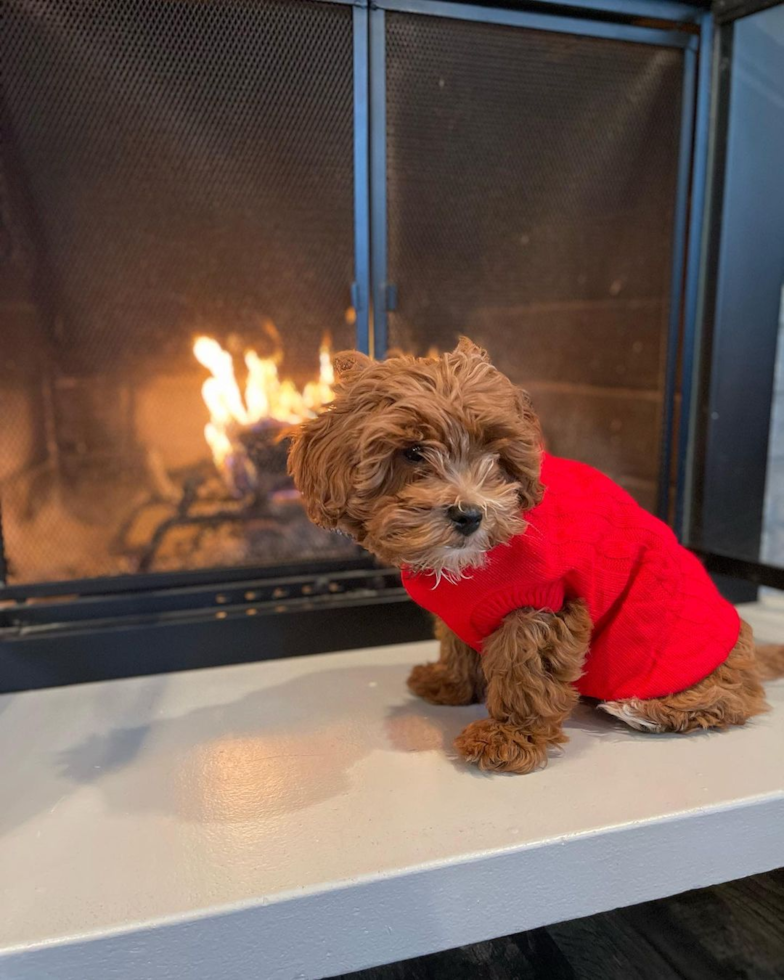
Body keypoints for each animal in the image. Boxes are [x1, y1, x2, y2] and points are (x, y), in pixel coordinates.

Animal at [290, 336, 784, 772]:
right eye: (413, 453)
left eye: (495, 455)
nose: (469, 515)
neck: (471, 562)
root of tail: (743, 648)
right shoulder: (463, 608)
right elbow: (457, 642)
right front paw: (449, 683)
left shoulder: (542, 604)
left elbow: (526, 671)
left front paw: (509, 737)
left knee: (736, 698)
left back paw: (643, 709)